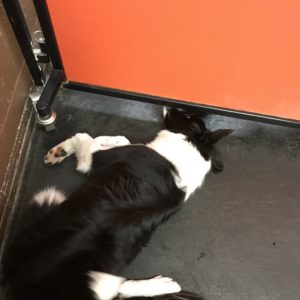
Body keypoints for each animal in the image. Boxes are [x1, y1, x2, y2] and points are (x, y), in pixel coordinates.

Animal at [2, 108, 232, 300]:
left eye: (186, 116)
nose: (170, 105)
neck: (194, 149)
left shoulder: (92, 158)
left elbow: (82, 136)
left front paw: (64, 148)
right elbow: (122, 138)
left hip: (50, 200)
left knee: (118, 289)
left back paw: (161, 285)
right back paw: (165, 285)